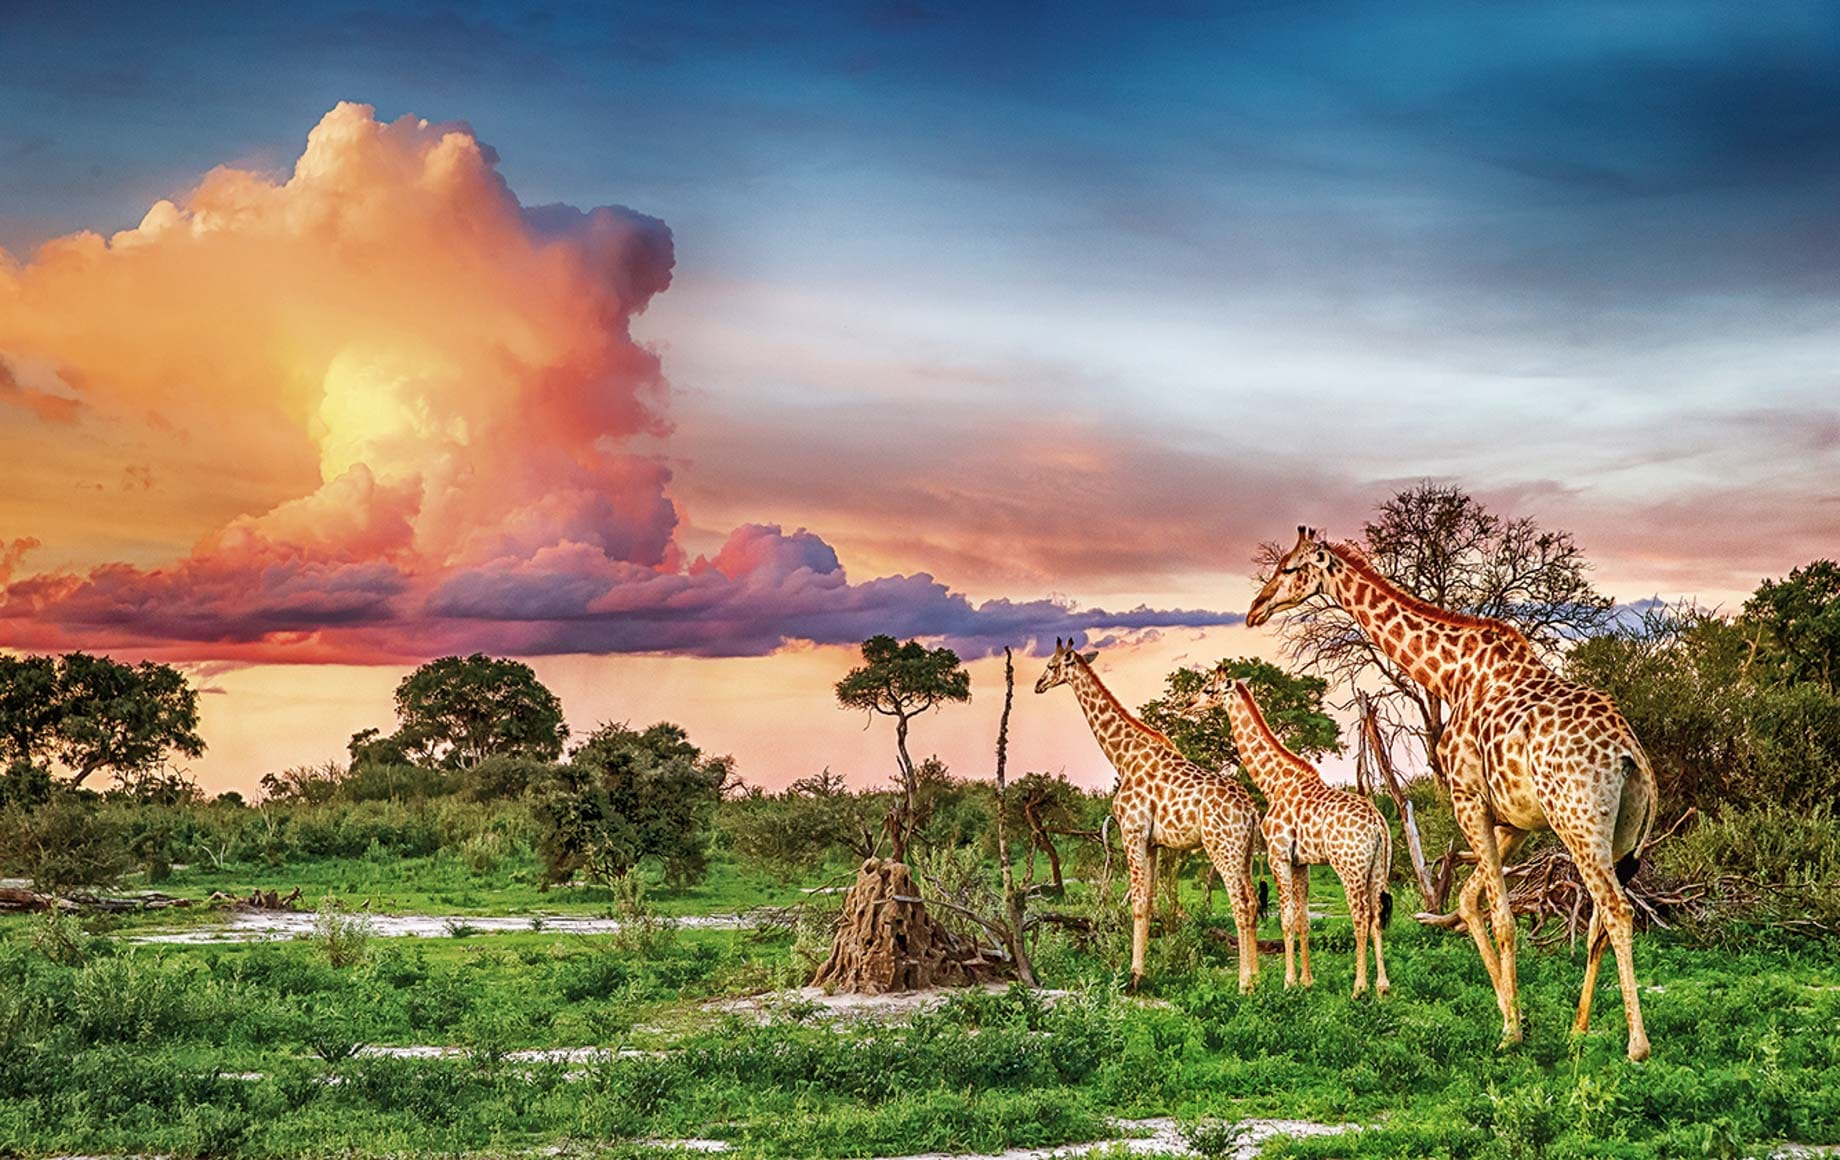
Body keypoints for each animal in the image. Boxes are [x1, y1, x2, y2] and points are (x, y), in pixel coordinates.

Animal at [1037, 640, 1265, 994]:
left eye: (1051, 664)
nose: (1038, 685)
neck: (1123, 755)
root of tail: (1251, 811)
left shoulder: (1132, 831)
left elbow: (1137, 901)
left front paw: (1133, 977)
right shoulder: (1153, 842)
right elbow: (1148, 899)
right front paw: (1143, 973)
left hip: (1222, 847)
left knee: (1240, 903)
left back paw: (1244, 985)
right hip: (1244, 851)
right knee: (1253, 901)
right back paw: (1255, 979)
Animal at [1177, 673, 1391, 1001]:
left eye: (1208, 689)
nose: (1188, 705)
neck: (1274, 782)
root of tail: (1379, 823)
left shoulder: (1278, 856)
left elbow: (1286, 918)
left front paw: (1289, 982)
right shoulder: (1301, 862)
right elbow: (1303, 920)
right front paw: (1307, 981)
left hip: (1349, 866)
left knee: (1361, 915)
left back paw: (1359, 987)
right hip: (1378, 865)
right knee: (1378, 915)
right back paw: (1383, 987)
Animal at [1251, 526, 1656, 1060]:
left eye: (1291, 568)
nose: (1255, 608)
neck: (1450, 673)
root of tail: (1630, 753)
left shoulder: (1468, 798)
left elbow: (1502, 917)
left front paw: (1510, 1031)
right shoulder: (1513, 820)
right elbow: (1467, 901)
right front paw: (1512, 1013)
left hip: (1577, 821)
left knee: (1614, 909)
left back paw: (1636, 1045)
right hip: (1622, 832)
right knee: (1597, 919)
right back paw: (1579, 1028)